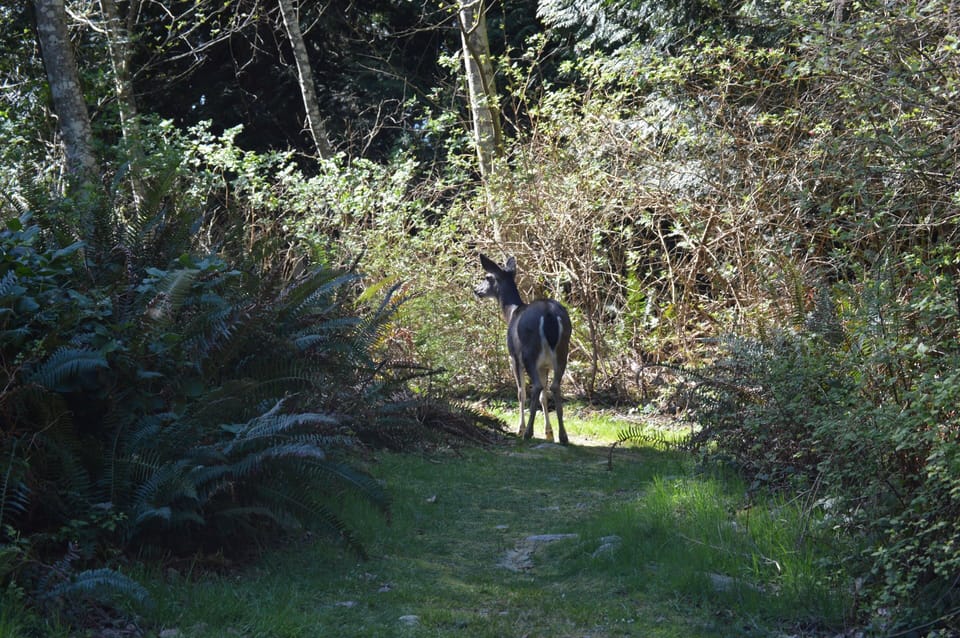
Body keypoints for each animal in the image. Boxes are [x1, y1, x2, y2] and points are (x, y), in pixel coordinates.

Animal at [474, 254, 572, 444]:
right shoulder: (544, 366)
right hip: (562, 351)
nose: (476, 290)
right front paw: (549, 432)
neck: (511, 312)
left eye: (488, 277)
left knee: (535, 387)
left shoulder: (513, 357)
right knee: (554, 387)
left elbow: (520, 392)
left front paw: (520, 428)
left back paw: (528, 432)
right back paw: (563, 436)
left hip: (529, 352)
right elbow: (544, 396)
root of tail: (549, 315)